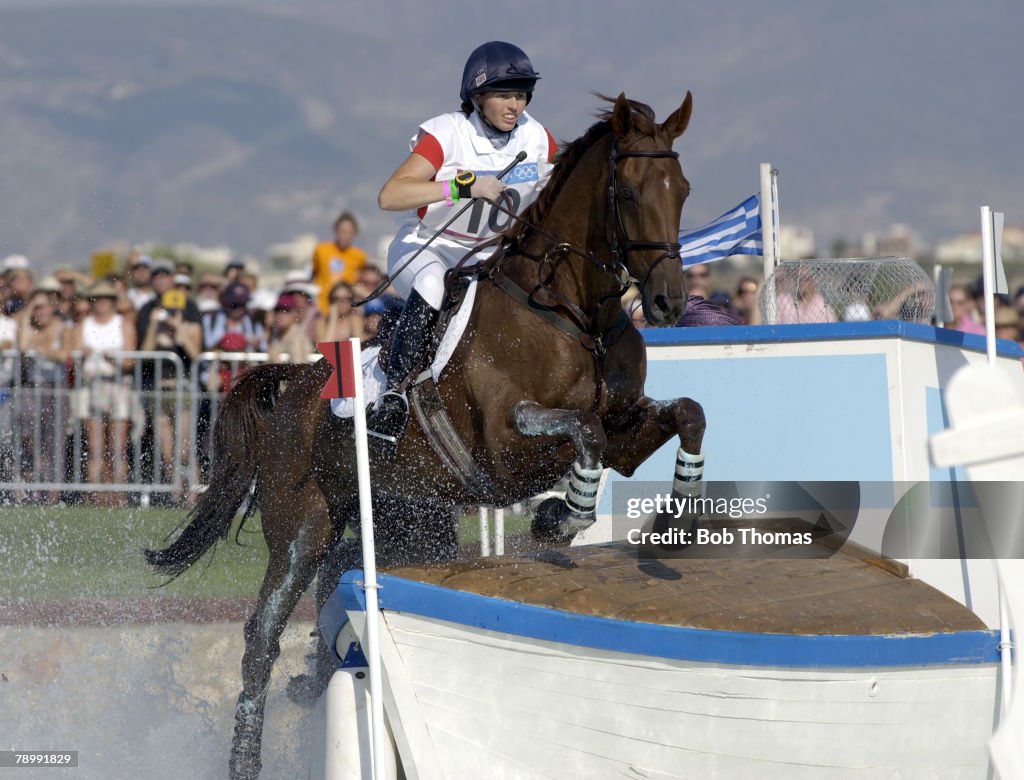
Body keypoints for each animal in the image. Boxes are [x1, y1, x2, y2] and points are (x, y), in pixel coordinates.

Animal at [144, 92, 704, 777]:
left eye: (682, 190)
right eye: (626, 191)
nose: (669, 303)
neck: (572, 316)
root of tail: (294, 382)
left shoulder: (628, 428)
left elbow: (685, 414)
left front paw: (680, 515)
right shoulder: (504, 447)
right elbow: (585, 430)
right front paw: (559, 518)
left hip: (401, 523)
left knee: (341, 580)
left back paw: (314, 675)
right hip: (302, 525)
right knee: (261, 637)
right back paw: (247, 756)